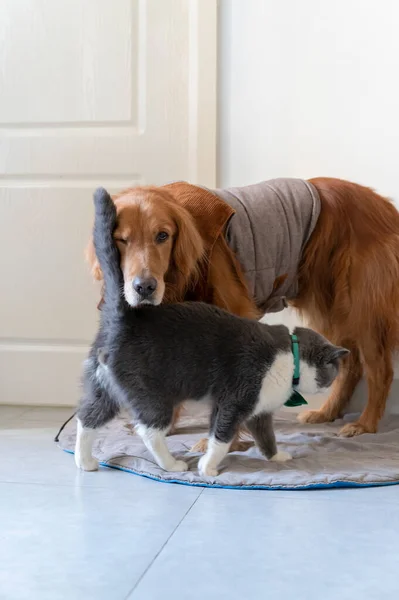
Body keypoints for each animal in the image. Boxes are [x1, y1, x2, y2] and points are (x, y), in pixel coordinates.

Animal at [75, 188, 350, 478]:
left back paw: (85, 462)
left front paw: (276, 457)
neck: (290, 354)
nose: (327, 387)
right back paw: (173, 464)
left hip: (106, 389)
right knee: (148, 432)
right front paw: (208, 466)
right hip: (152, 394)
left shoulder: (257, 412)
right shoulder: (234, 402)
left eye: (162, 236)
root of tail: (124, 319)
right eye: (331, 372)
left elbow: (266, 437)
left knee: (87, 417)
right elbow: (221, 438)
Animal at [86, 176, 399, 438]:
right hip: (330, 308)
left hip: (363, 310)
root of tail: (386, 207)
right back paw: (327, 412)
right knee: (350, 364)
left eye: (162, 236)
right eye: (122, 240)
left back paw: (365, 424)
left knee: (379, 370)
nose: (145, 287)